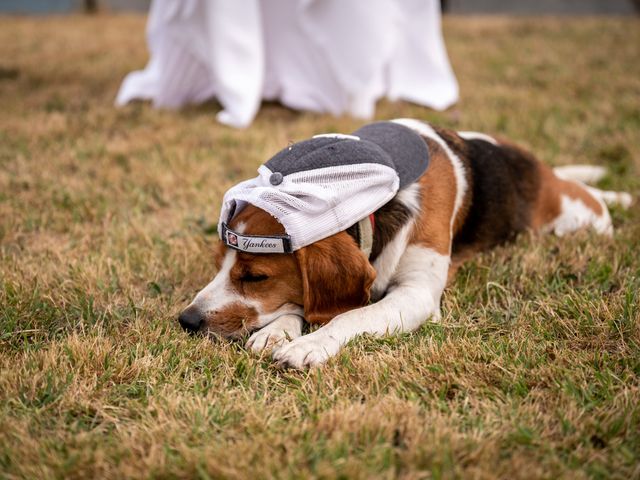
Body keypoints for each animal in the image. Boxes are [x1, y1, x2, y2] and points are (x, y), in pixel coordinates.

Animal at [178, 118, 632, 370]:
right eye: (219, 264)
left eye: (256, 276)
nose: (187, 321)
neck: (376, 201)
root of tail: (537, 165)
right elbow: (306, 303)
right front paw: (278, 330)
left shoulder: (415, 295)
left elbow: (351, 316)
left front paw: (310, 344)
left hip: (574, 217)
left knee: (591, 202)